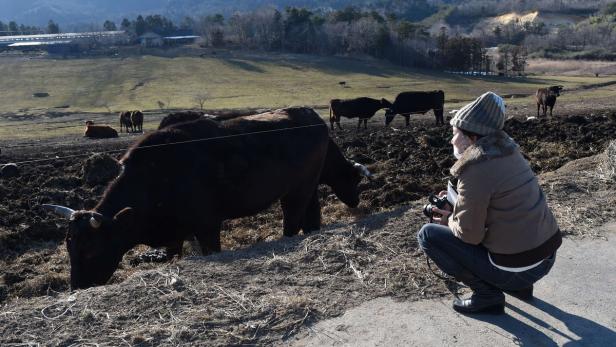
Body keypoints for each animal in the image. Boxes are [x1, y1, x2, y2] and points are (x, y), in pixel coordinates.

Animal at [44, 107, 370, 290]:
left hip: (297, 190)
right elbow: (172, 252)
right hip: (306, 187)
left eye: (91, 250)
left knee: (291, 219)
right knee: (310, 213)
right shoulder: (173, 234)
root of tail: (312, 117)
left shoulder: (207, 226)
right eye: (69, 247)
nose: (77, 288)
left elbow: (210, 248)